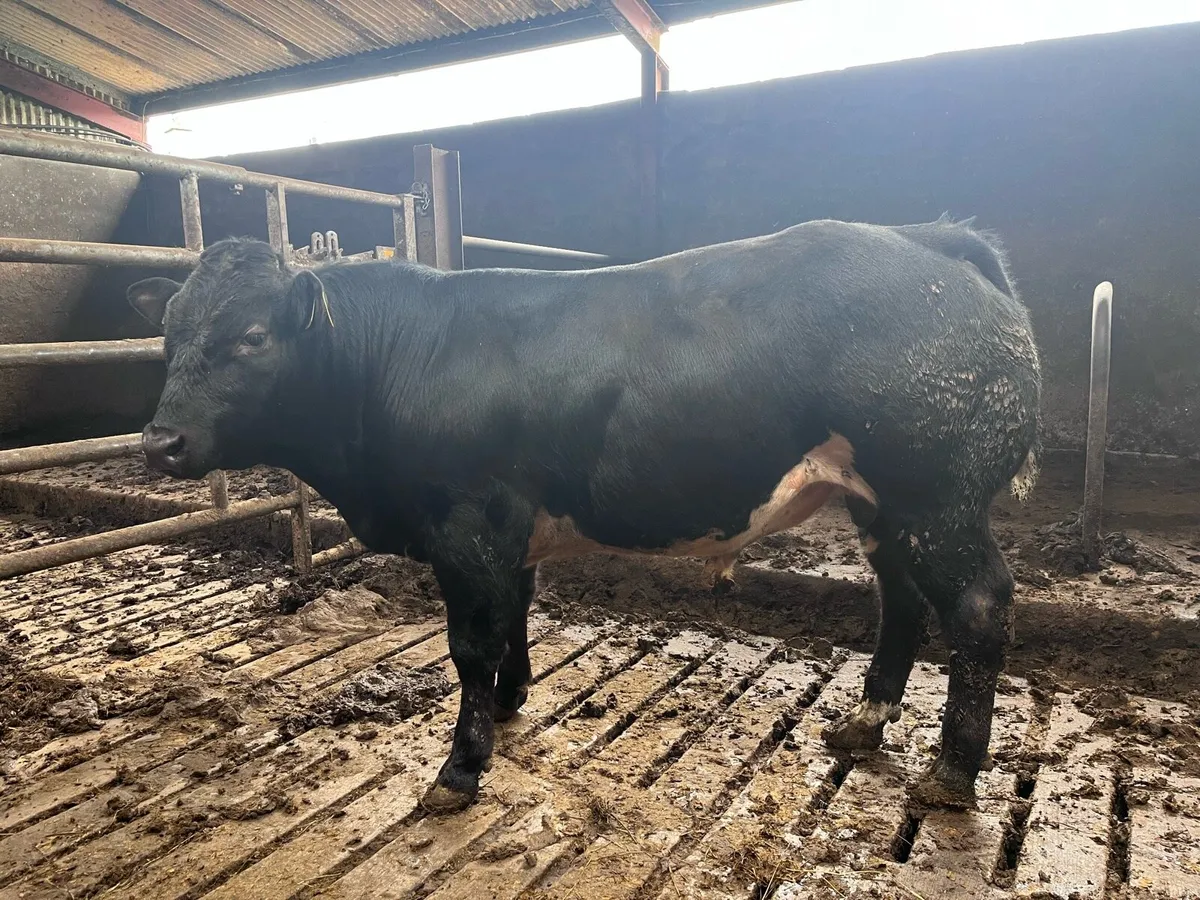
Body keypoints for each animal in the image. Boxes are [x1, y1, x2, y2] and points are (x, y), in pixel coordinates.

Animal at [128, 216, 1041, 814]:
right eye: (167, 332)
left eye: (252, 336)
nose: (161, 440)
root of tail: (929, 239)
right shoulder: (511, 531)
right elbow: (515, 618)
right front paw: (509, 702)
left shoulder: (469, 523)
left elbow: (470, 643)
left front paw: (460, 767)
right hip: (881, 505)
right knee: (902, 601)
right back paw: (864, 722)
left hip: (938, 499)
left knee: (977, 607)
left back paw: (953, 773)